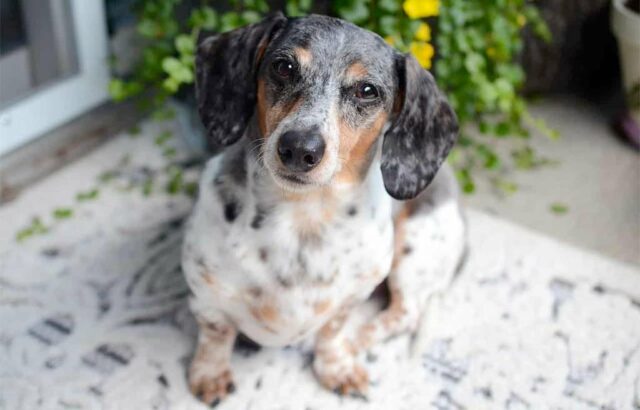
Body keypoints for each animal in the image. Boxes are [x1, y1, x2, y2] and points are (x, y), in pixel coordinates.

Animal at [180, 12, 464, 406]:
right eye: (283, 67)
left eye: (367, 91)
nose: (300, 148)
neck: (301, 219)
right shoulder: (205, 294)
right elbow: (215, 335)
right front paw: (210, 374)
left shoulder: (352, 296)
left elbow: (332, 331)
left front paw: (337, 366)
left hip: (414, 251)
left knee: (405, 311)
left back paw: (359, 340)